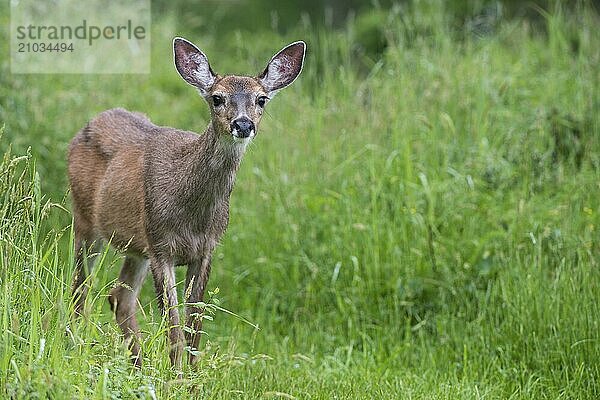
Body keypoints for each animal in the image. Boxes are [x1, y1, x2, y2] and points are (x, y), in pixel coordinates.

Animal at [68, 36, 308, 370]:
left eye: (261, 99)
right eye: (217, 98)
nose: (243, 124)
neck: (192, 213)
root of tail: (82, 130)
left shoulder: (205, 249)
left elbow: (195, 325)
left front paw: (193, 377)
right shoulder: (161, 249)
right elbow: (174, 327)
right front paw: (177, 376)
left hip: (136, 245)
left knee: (119, 296)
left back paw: (138, 367)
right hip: (86, 221)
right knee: (80, 288)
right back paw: (75, 348)